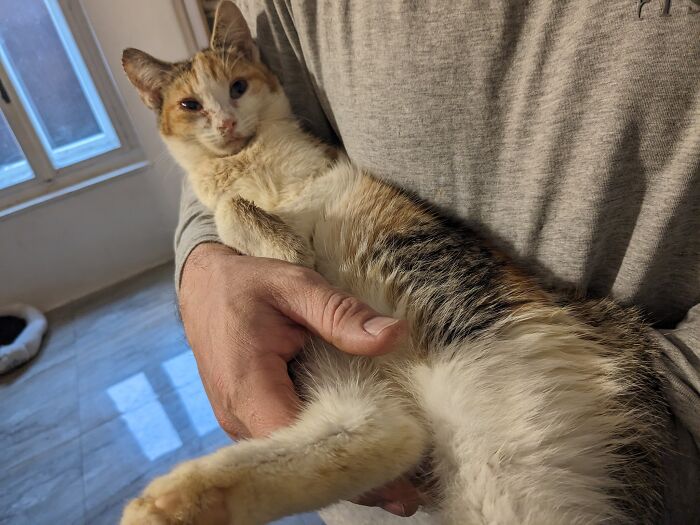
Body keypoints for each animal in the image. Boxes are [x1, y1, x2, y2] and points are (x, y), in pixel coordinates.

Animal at [120, 2, 668, 520]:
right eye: (190, 104)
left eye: (238, 87)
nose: (227, 123)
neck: (246, 163)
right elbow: (226, 205)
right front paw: (278, 241)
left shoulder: (318, 176)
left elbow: (237, 207)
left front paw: (285, 246)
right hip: (351, 383)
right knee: (387, 432)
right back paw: (170, 503)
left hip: (498, 435)